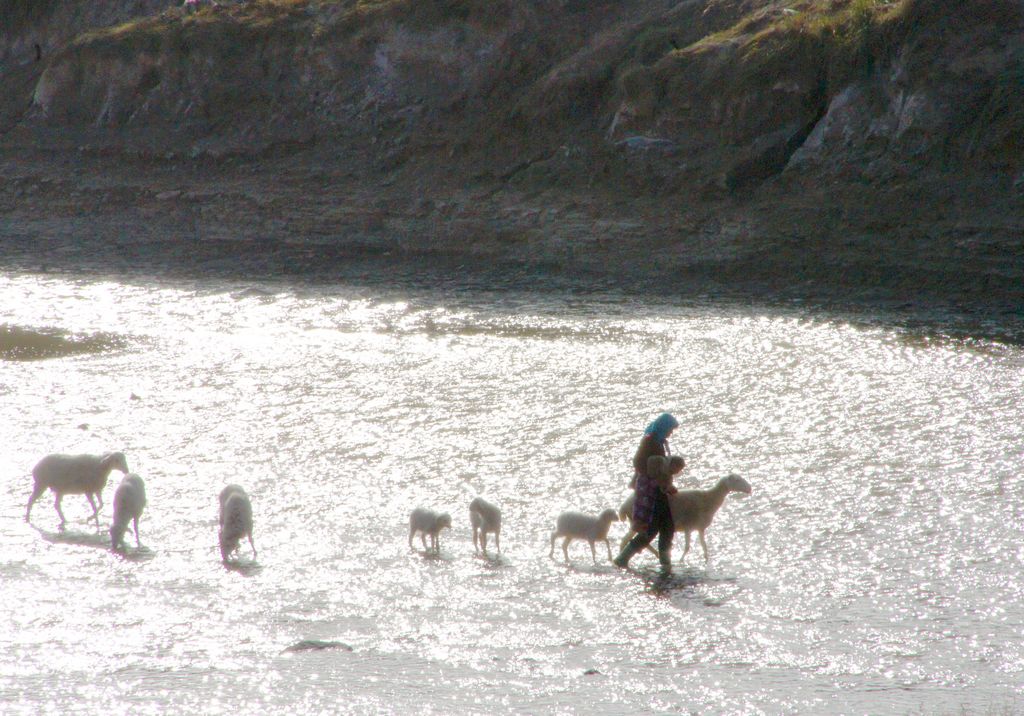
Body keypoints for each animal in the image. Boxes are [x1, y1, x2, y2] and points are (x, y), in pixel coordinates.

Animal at [614, 475, 753, 565]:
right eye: (737, 480)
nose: (750, 488)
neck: (709, 499)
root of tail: (623, 507)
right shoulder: (688, 527)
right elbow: (687, 547)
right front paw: (681, 560)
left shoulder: (699, 528)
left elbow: (703, 546)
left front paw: (706, 560)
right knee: (632, 539)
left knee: (629, 539)